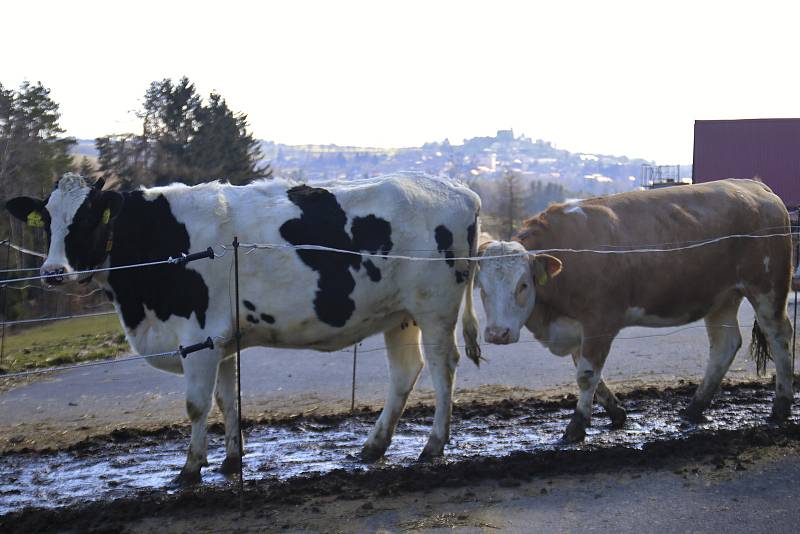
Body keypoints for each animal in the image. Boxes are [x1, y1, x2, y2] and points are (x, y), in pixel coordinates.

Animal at [7, 174, 482, 484]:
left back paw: (432, 446)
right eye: (47, 221)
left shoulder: (197, 338)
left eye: (88, 219)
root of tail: (460, 190)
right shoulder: (219, 339)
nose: (53, 272)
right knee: (405, 372)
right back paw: (373, 447)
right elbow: (226, 400)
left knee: (443, 368)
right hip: (399, 315)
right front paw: (230, 463)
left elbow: (196, 406)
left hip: (435, 308)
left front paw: (189, 470)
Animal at [476, 180, 792, 444]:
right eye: (482, 287)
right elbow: (591, 375)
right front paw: (617, 413)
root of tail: (755, 186)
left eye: (523, 284)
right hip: (721, 297)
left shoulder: (599, 322)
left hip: (767, 288)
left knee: (779, 335)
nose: (497, 333)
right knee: (725, 346)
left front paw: (576, 427)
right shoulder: (576, 328)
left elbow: (586, 375)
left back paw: (781, 406)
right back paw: (694, 408)